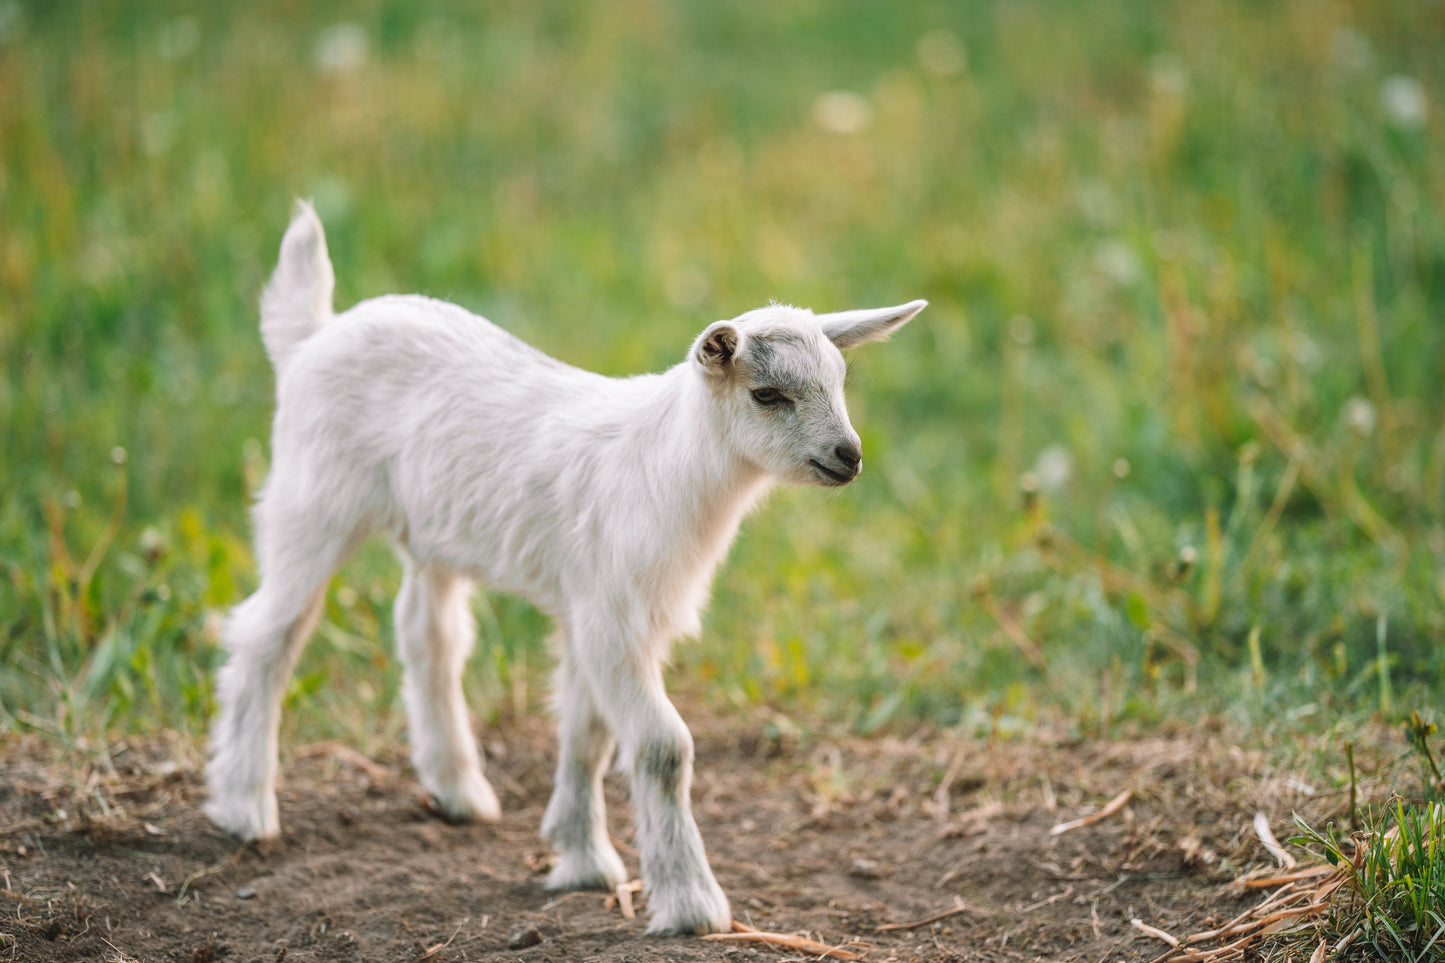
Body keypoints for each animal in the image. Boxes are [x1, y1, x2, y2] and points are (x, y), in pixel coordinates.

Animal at [205, 202, 926, 935]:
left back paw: (458, 788)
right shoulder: (611, 616)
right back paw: (245, 807)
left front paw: (581, 860)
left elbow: (587, 735)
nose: (848, 456)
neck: (666, 468)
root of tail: (311, 335)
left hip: (431, 529)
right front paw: (690, 903)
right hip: (311, 499)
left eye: (839, 382)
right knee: (269, 632)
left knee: (427, 633)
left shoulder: (597, 611)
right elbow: (663, 747)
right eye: (767, 394)